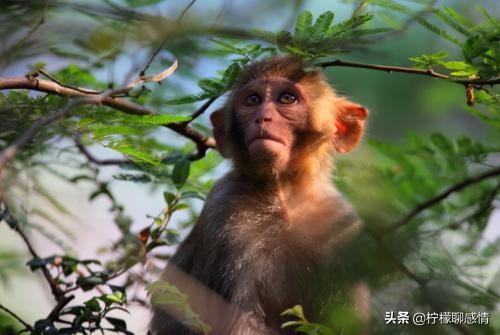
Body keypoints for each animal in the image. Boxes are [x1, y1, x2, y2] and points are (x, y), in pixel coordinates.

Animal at [150, 56, 370, 334]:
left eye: (286, 98)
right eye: (253, 100)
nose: (263, 117)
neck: (283, 197)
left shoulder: (343, 227)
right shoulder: (224, 215)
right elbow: (240, 321)